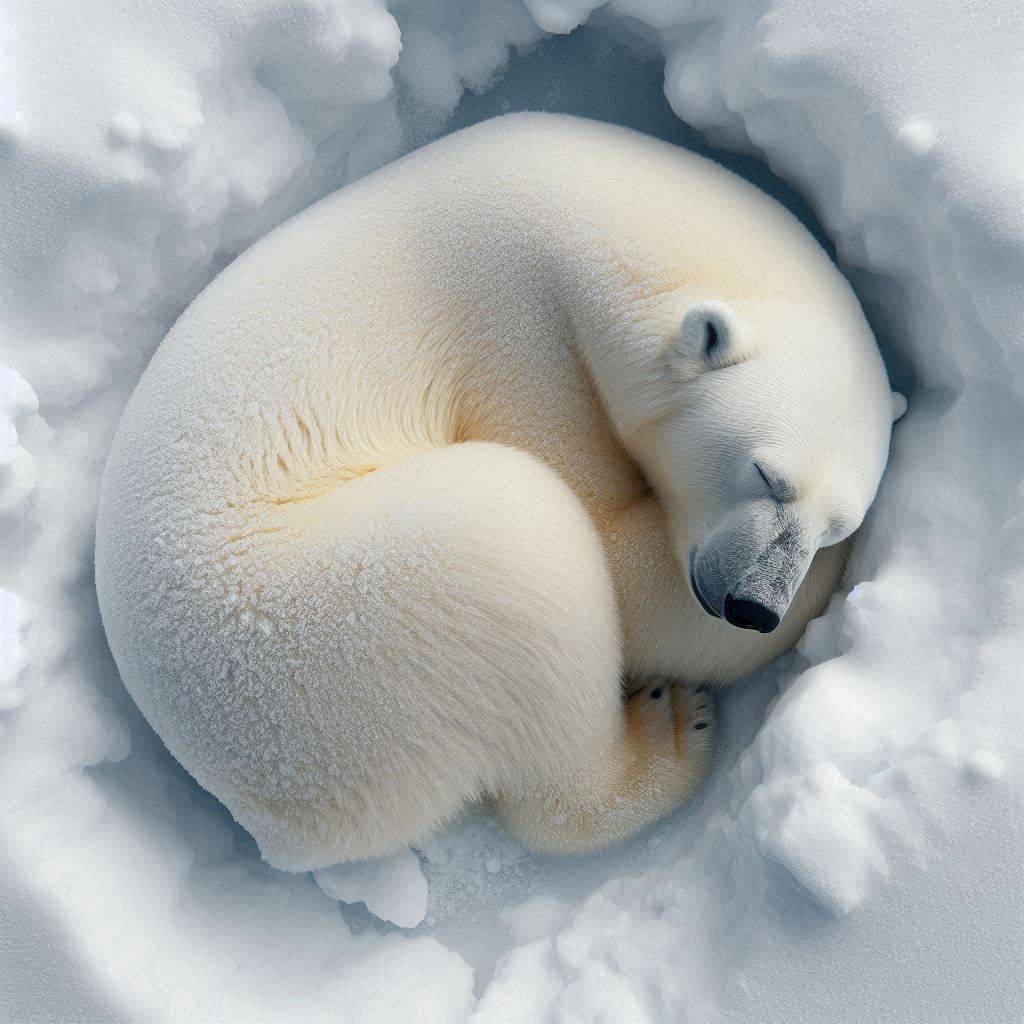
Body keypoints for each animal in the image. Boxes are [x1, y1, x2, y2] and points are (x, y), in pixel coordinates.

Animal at [95, 113, 903, 870]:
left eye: (836, 521)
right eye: (767, 476)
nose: (754, 606)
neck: (573, 208)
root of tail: (273, 815)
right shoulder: (515, 331)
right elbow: (609, 547)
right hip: (317, 637)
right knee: (513, 545)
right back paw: (667, 736)